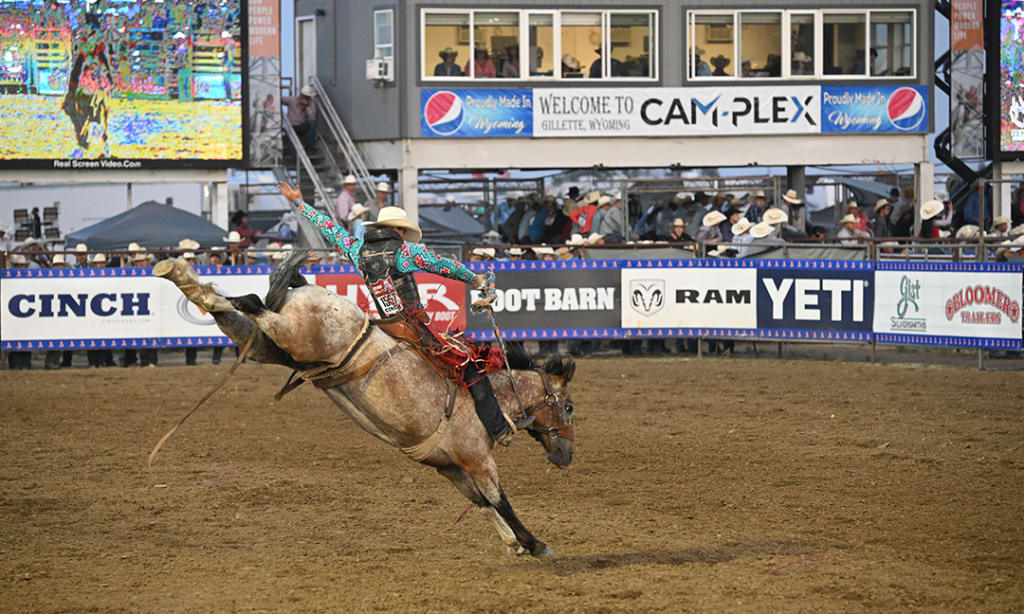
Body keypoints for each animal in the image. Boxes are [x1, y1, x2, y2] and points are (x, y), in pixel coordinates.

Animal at [156, 249, 581, 556]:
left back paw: (180, 274)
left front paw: (512, 542)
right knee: (249, 302)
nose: (566, 455)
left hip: (273, 347)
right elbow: (499, 499)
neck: (492, 393)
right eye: (569, 407)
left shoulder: (449, 467)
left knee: (236, 311)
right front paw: (535, 544)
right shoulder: (477, 457)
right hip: (294, 335)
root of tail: (305, 287)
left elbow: (480, 503)